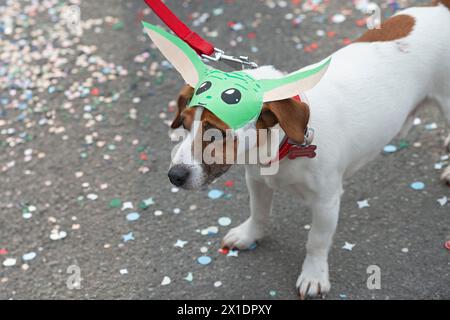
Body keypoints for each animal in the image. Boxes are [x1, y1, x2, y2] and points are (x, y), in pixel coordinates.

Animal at [166, 1, 450, 298]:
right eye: (184, 124)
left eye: (216, 132)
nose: (174, 176)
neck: (282, 147)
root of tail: (439, 7)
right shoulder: (257, 180)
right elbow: (259, 213)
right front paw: (250, 235)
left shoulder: (327, 202)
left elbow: (316, 241)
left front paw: (313, 275)